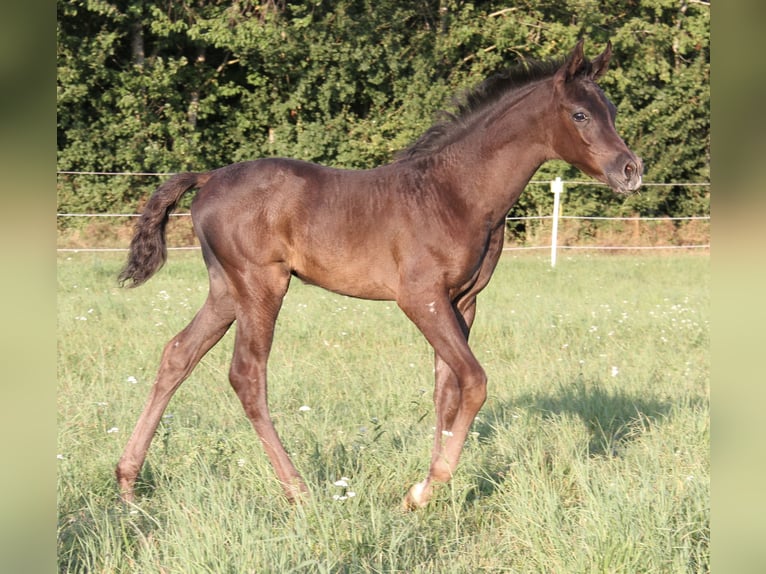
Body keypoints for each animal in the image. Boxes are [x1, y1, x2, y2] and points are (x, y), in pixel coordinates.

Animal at [115, 38, 640, 510]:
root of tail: (208, 178)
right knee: (246, 375)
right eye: (580, 114)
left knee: (177, 355)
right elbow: (474, 382)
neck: (455, 192)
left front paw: (426, 490)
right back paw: (298, 491)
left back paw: (127, 483)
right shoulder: (421, 297)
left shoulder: (463, 300)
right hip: (262, 285)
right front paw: (425, 490)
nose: (631, 170)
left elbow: (446, 391)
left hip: (227, 291)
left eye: (612, 110)